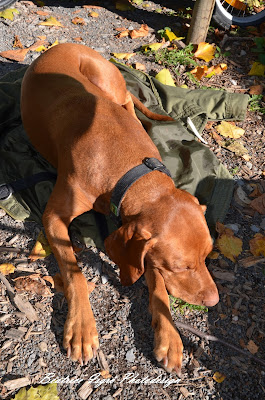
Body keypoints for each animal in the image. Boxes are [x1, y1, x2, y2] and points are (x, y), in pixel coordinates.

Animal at [20, 43, 218, 376]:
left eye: (207, 256)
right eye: (181, 267)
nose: (214, 301)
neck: (129, 168)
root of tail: (62, 44)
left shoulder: (141, 244)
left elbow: (157, 286)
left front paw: (170, 337)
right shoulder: (54, 218)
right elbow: (74, 272)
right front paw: (82, 329)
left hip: (107, 80)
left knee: (129, 102)